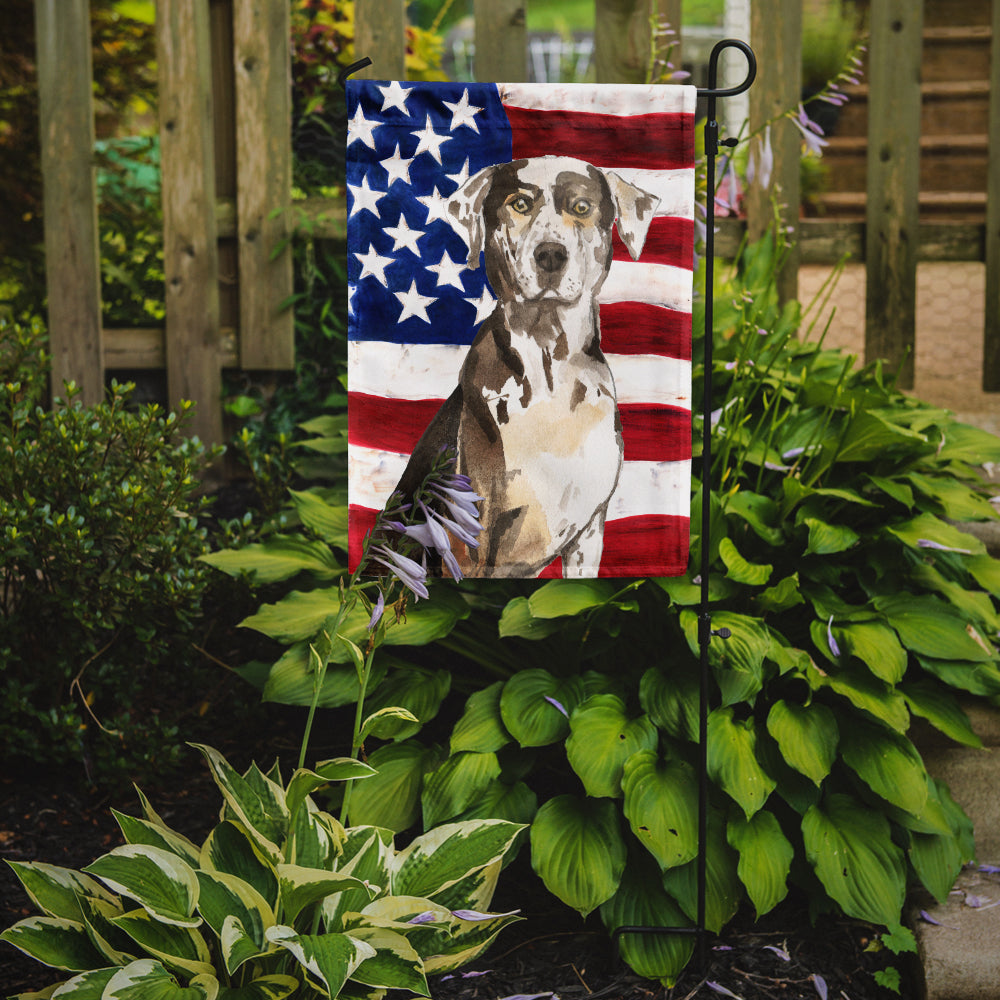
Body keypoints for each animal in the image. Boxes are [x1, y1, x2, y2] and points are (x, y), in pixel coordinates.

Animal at [394, 156, 660, 580]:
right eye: (519, 204)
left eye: (581, 207)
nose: (550, 254)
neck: (551, 368)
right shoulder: (471, 537)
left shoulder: (589, 533)